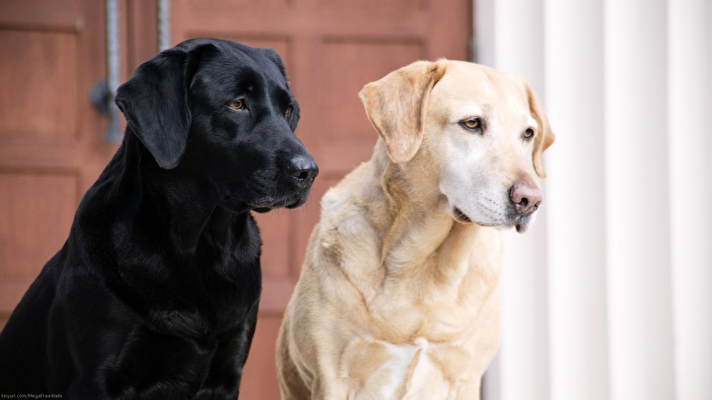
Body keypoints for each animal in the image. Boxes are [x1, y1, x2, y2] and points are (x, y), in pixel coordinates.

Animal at [0, 38, 318, 400]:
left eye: (288, 110)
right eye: (237, 104)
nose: (308, 171)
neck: (201, 246)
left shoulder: (227, 371)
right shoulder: (95, 378)